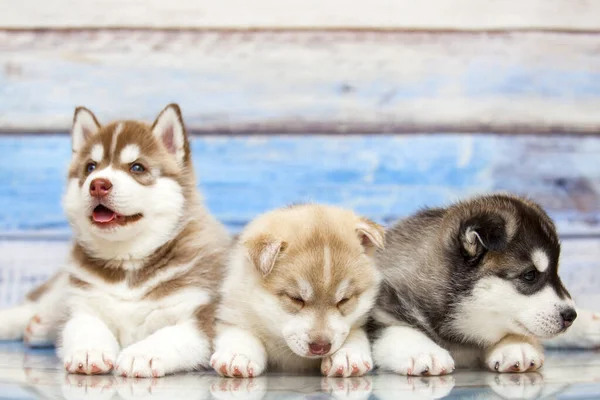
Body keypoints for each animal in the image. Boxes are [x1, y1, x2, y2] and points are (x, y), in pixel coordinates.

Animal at [0, 104, 230, 378]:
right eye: (90, 167)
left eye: (137, 168)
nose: (98, 184)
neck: (128, 263)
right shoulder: (83, 302)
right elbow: (85, 325)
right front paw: (89, 351)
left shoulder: (202, 316)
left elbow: (171, 335)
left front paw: (141, 354)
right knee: (38, 301)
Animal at [211, 205, 384, 376]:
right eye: (296, 298)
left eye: (344, 300)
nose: (321, 347)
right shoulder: (234, 312)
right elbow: (240, 333)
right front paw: (238, 355)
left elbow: (354, 333)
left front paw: (347, 355)